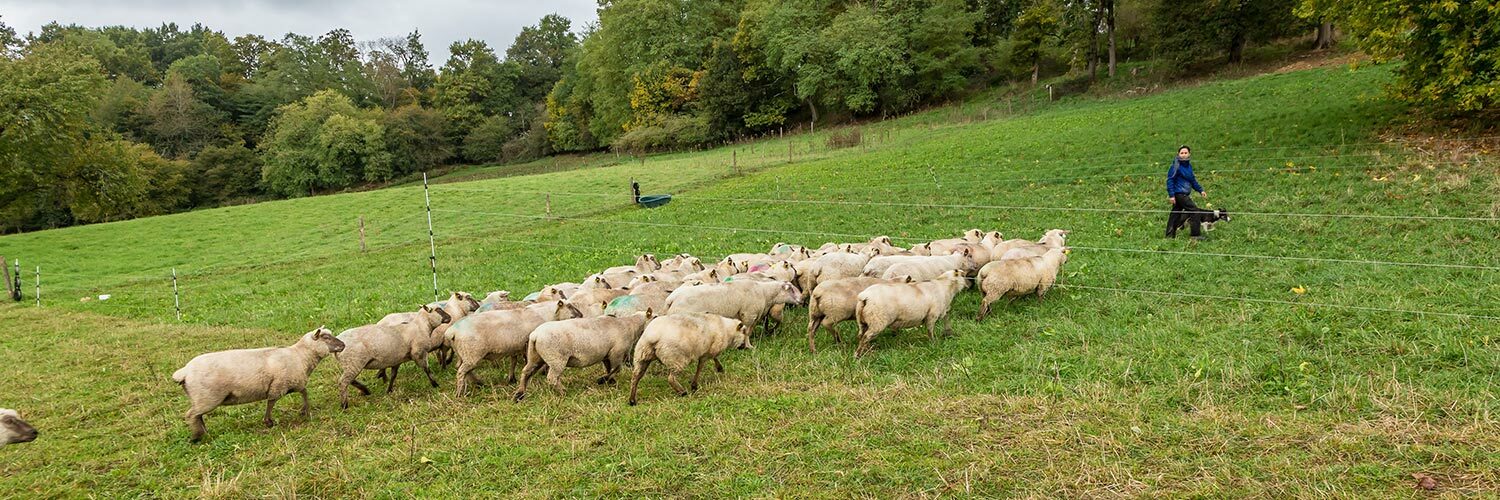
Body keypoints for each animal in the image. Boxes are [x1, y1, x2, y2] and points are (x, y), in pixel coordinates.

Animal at [172, 327, 345, 441]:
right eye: (326, 338)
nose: (343, 345)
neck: (301, 356)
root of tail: (185, 371)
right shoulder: (280, 385)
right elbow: (273, 401)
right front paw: (269, 421)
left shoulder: (294, 383)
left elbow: (304, 393)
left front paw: (304, 411)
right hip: (207, 398)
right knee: (191, 415)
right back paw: (197, 437)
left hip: (201, 399)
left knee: (197, 416)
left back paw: (204, 432)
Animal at [447, 297, 582, 396]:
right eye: (569, 306)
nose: (581, 315)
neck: (546, 314)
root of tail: (452, 331)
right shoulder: (527, 344)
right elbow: (527, 362)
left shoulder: (517, 346)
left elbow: (514, 362)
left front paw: (512, 379)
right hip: (472, 354)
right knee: (461, 371)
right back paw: (460, 393)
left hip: (464, 353)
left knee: (462, 369)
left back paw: (477, 383)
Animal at [513, 309, 654, 399]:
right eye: (655, 317)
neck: (630, 325)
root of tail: (535, 335)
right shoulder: (616, 352)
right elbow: (617, 368)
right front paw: (603, 380)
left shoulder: (606, 355)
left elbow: (610, 368)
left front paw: (610, 381)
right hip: (556, 358)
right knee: (552, 378)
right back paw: (563, 392)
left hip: (535, 356)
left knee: (526, 372)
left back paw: (520, 393)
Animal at [669, 277, 810, 345]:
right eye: (791, 289)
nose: (802, 300)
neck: (765, 293)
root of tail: (671, 298)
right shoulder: (748, 315)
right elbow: (746, 332)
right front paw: (748, 346)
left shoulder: (753, 317)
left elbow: (748, 331)